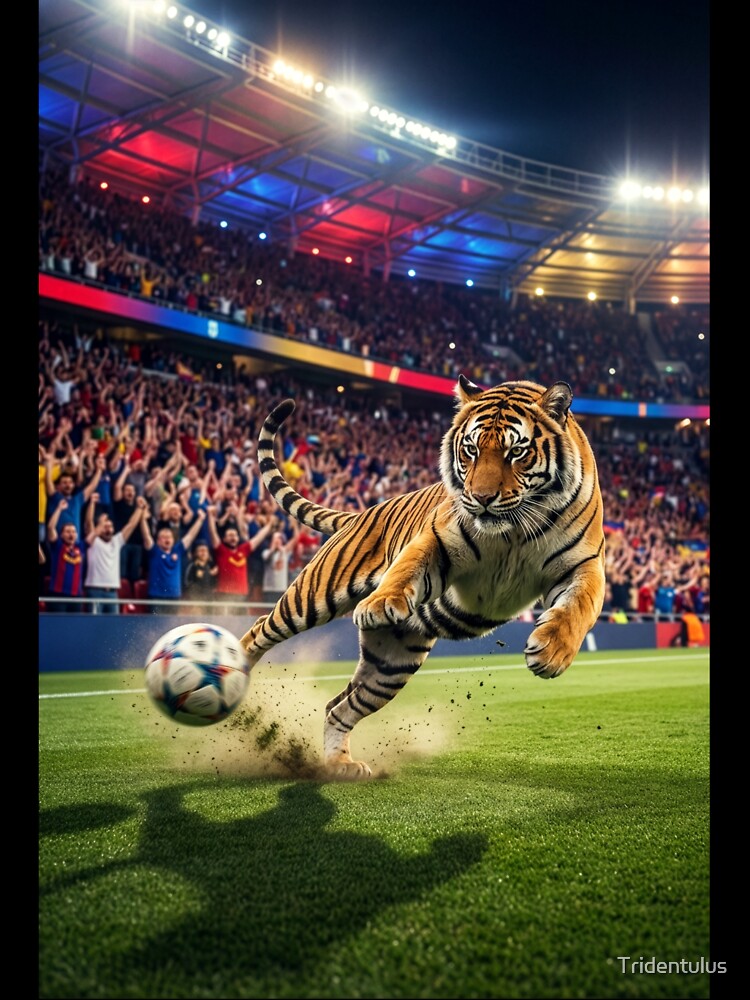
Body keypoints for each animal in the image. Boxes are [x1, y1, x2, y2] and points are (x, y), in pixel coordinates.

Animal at [240, 376, 606, 779]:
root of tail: (360, 513)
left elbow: (579, 607)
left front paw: (553, 651)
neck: (512, 531)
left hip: (391, 664)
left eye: (516, 452)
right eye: (471, 450)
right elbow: (407, 566)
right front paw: (380, 603)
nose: (481, 498)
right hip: (312, 596)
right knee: (258, 630)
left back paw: (341, 765)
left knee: (338, 706)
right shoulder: (440, 537)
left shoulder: (583, 564)